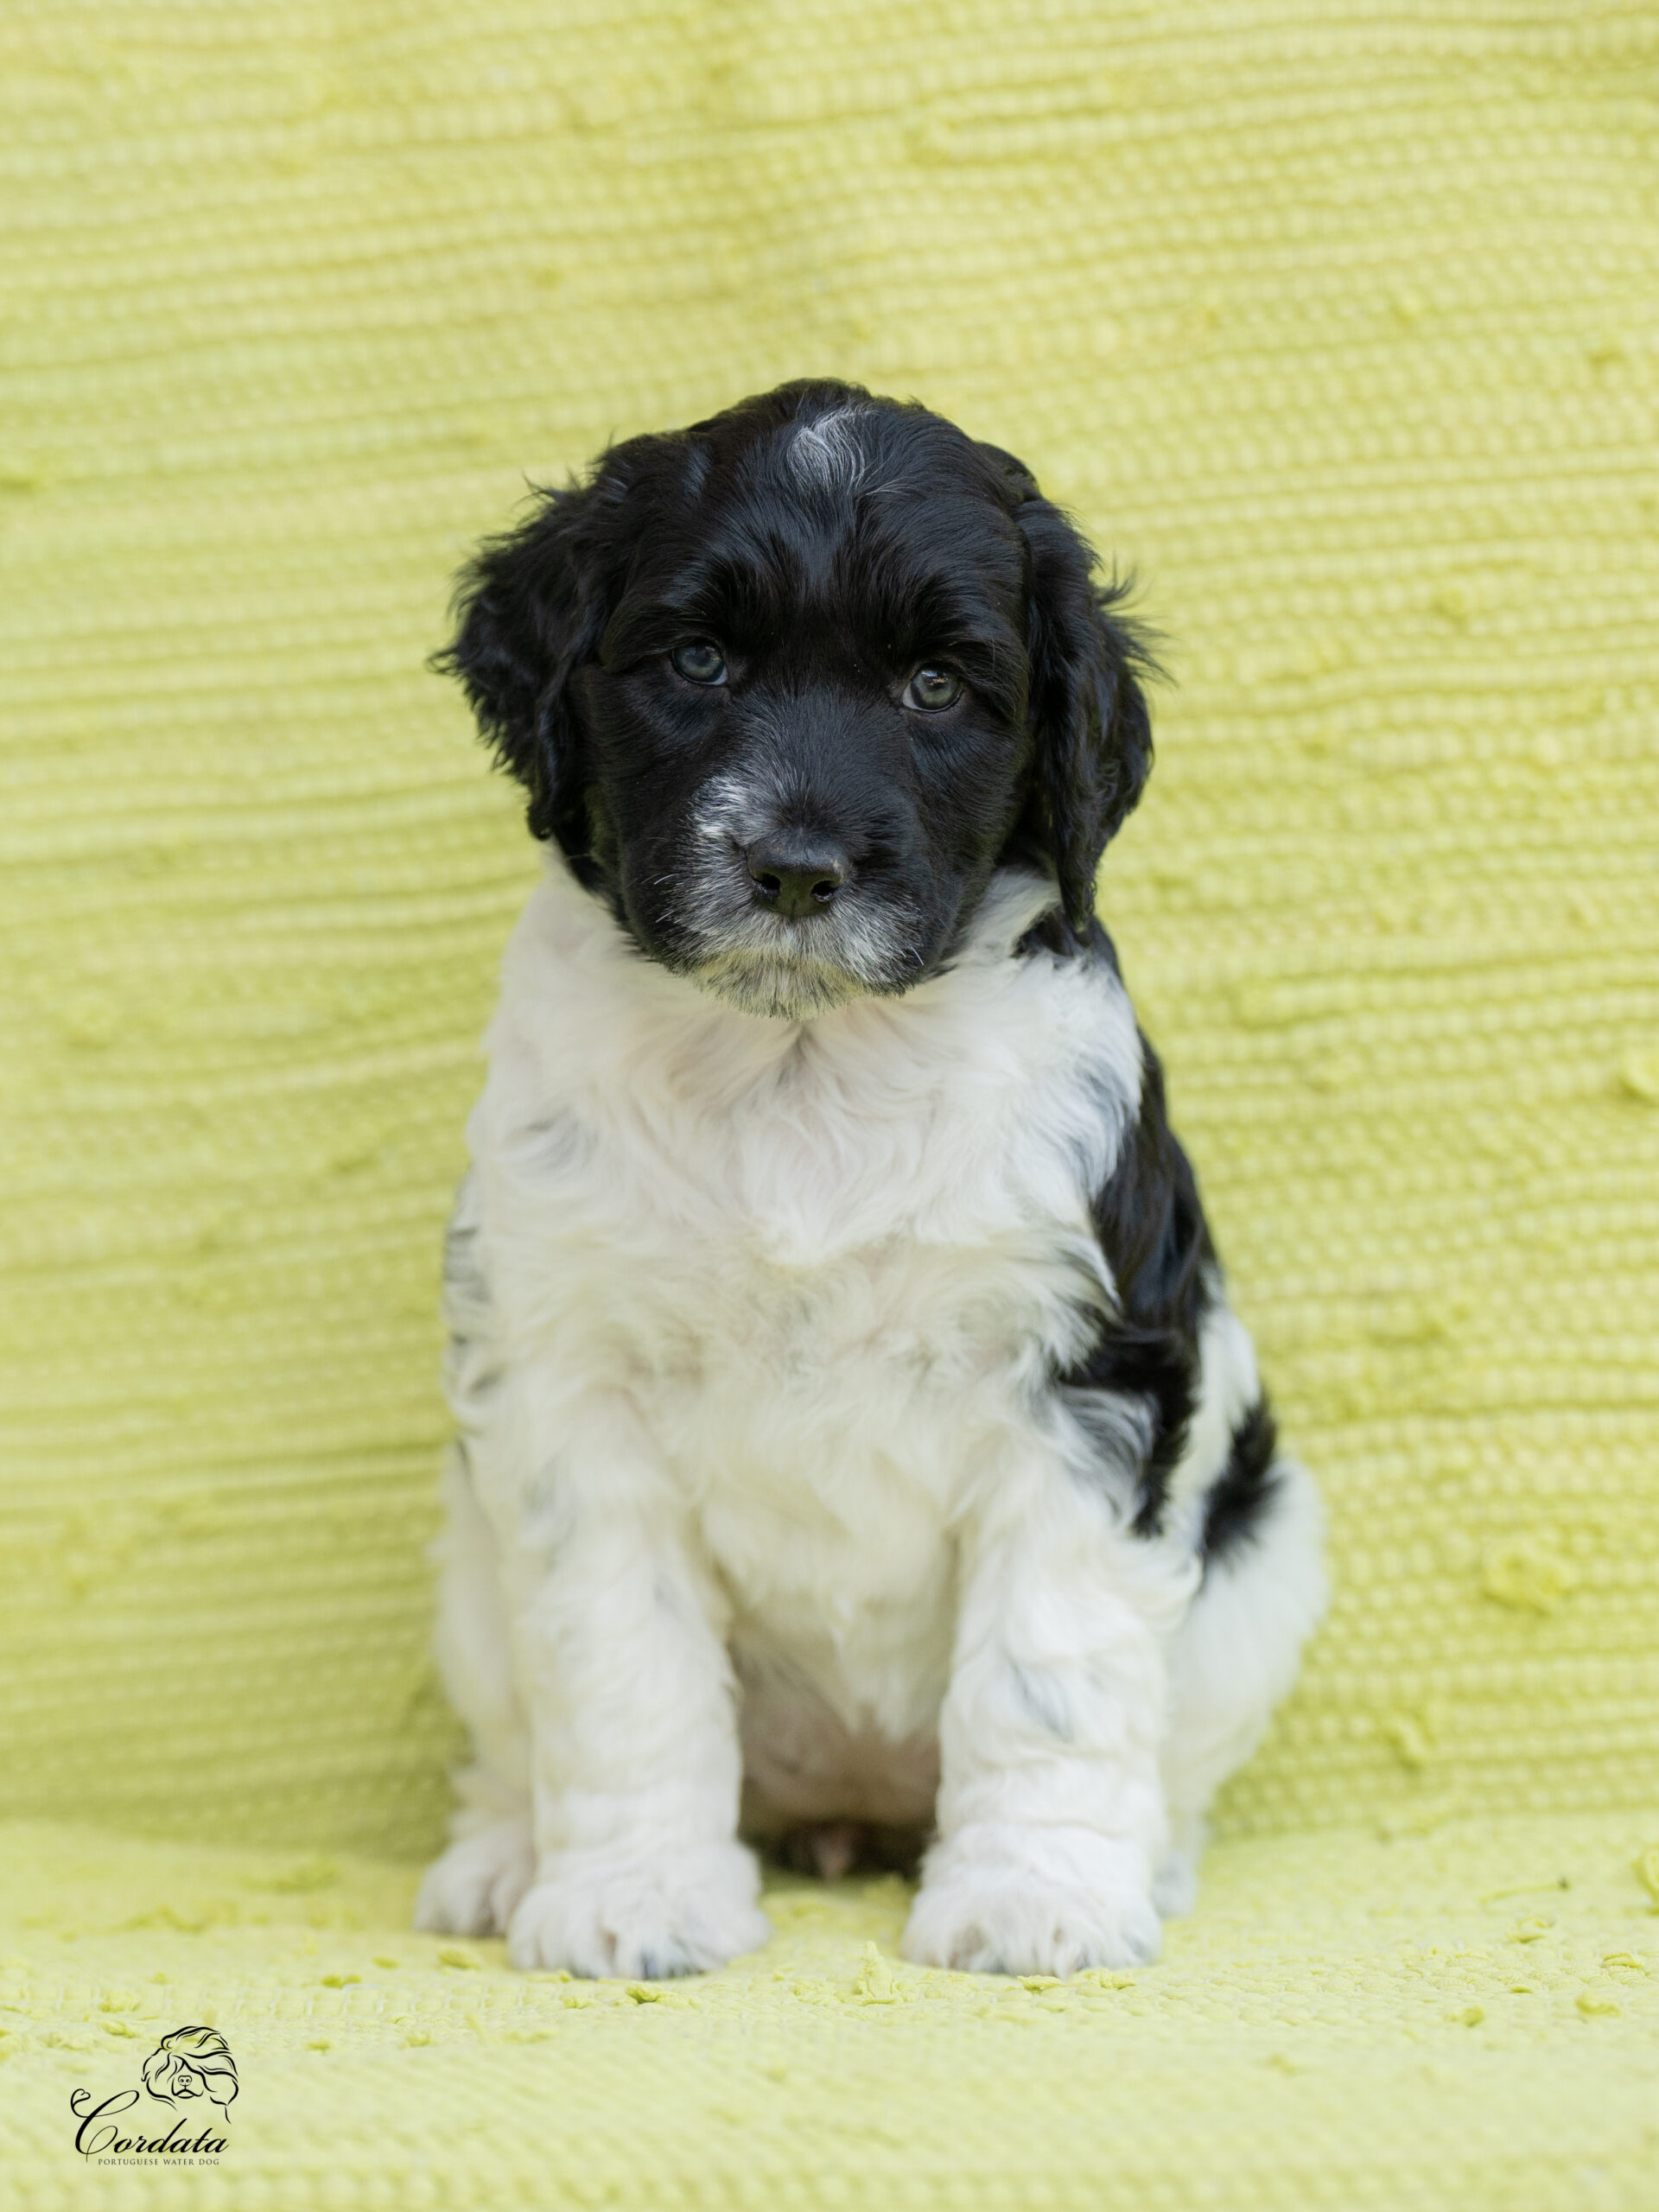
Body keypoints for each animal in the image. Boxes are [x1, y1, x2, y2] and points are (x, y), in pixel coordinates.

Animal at [412, 379, 1327, 1978]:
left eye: (940, 687)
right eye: (698, 659)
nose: (794, 867)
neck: (802, 1066)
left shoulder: (1088, 1371)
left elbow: (1050, 1662)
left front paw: (1033, 1897)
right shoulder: (564, 1378)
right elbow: (619, 1659)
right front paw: (637, 1896)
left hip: (1262, 1565)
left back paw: (1137, 1866)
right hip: (467, 1568)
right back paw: (502, 1856)